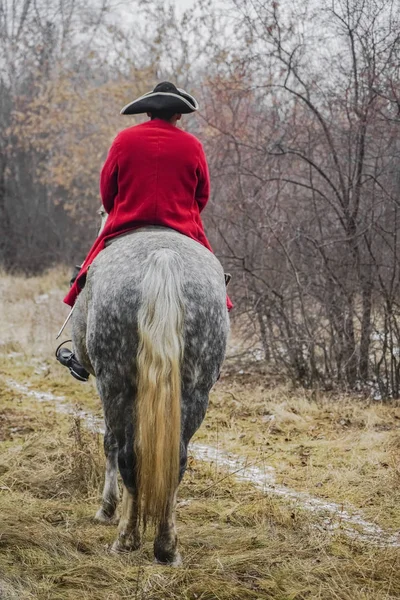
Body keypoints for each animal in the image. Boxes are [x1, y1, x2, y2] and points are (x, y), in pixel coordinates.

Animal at [70, 224, 230, 564]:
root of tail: (164, 255)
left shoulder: (105, 386)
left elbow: (109, 444)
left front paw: (107, 509)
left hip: (115, 385)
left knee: (127, 455)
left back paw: (126, 539)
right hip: (195, 391)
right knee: (176, 462)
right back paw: (167, 548)